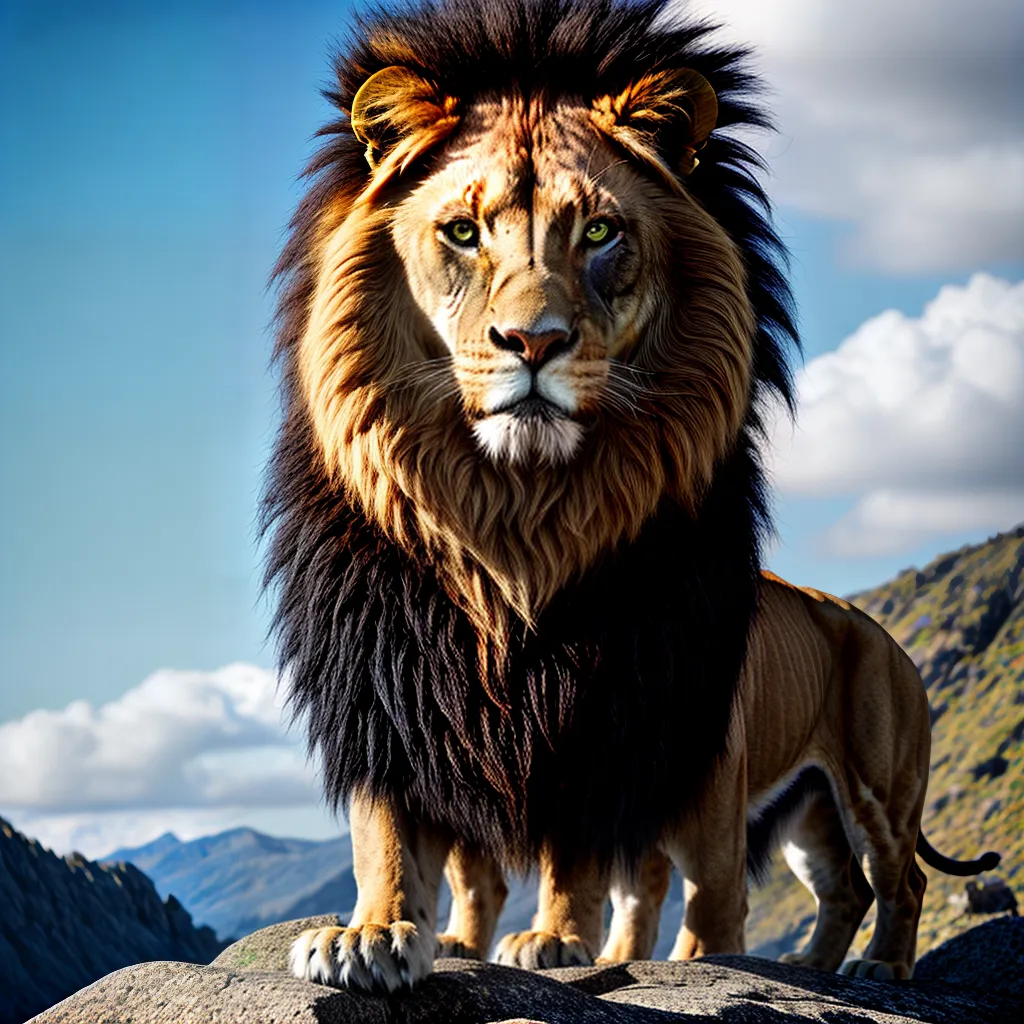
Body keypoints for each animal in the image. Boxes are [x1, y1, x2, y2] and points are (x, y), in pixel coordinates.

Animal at [264, 0, 800, 992]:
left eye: (597, 234)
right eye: (463, 234)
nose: (533, 341)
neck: (513, 516)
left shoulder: (615, 691)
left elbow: (579, 839)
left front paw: (553, 939)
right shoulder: (384, 679)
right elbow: (385, 829)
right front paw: (371, 934)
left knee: (707, 891)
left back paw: (705, 958)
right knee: (479, 875)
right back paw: (455, 941)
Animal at [438, 572, 1000, 980]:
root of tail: (893, 644)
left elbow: (705, 885)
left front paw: (694, 957)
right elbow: (483, 878)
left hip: (878, 795)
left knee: (905, 884)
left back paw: (881, 965)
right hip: (813, 822)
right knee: (847, 892)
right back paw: (809, 964)